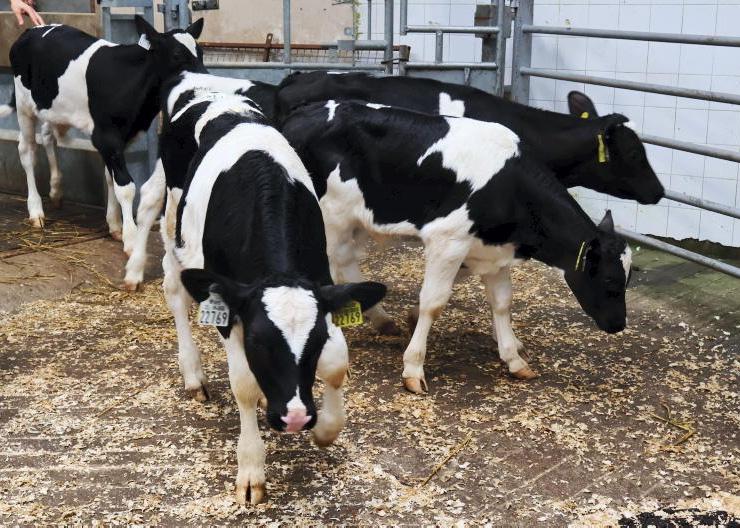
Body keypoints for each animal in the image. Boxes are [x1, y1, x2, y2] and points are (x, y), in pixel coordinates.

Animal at [0, 16, 205, 260]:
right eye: (176, 55)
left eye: (201, 52)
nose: (205, 78)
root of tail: (31, 30)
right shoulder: (106, 136)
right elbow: (125, 185)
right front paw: (130, 239)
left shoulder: (124, 137)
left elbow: (110, 179)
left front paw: (115, 225)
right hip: (24, 106)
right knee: (27, 150)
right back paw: (36, 211)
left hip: (51, 108)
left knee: (49, 135)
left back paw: (57, 191)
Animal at [159, 87, 386, 504]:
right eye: (259, 343)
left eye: (314, 342)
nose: (295, 417)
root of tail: (215, 94)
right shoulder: (230, 305)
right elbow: (244, 384)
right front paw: (251, 469)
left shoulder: (321, 284)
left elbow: (336, 363)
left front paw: (327, 429)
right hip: (172, 221)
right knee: (175, 289)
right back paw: (193, 374)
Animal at [281, 101, 632, 393]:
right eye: (611, 281)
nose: (619, 325)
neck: (510, 187)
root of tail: (300, 115)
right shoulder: (447, 241)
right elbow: (432, 303)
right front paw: (413, 367)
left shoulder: (495, 250)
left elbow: (502, 302)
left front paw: (513, 358)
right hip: (329, 218)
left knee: (344, 263)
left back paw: (380, 319)